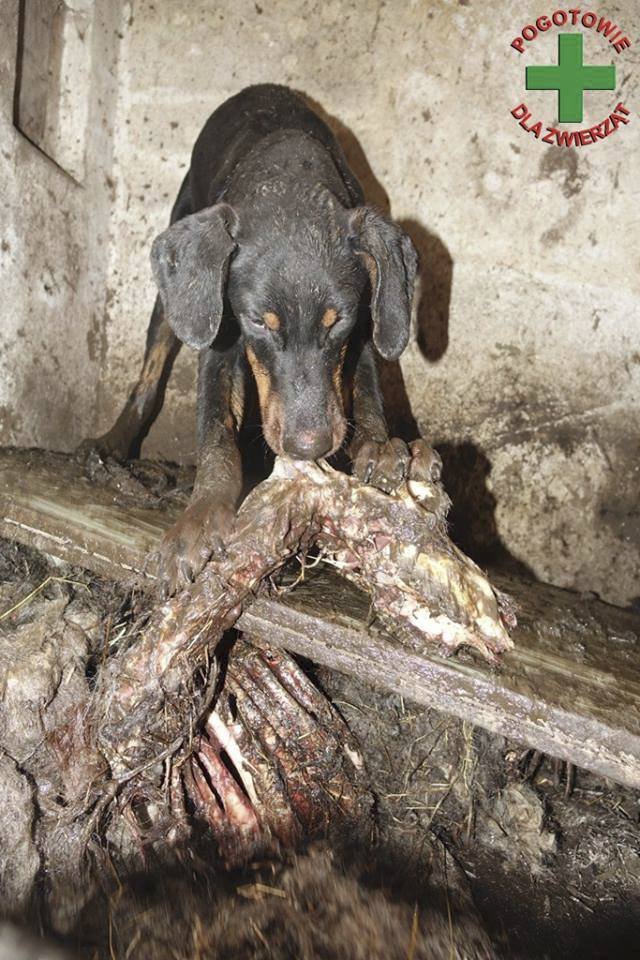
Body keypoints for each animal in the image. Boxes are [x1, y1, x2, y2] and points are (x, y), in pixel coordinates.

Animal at [85, 84, 436, 592]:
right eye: (259, 323)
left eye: (338, 321)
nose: (309, 448)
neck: (287, 180)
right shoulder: (221, 335)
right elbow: (215, 431)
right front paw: (201, 517)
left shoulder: (368, 318)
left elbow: (368, 390)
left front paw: (379, 446)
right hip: (175, 287)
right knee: (150, 372)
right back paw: (114, 441)